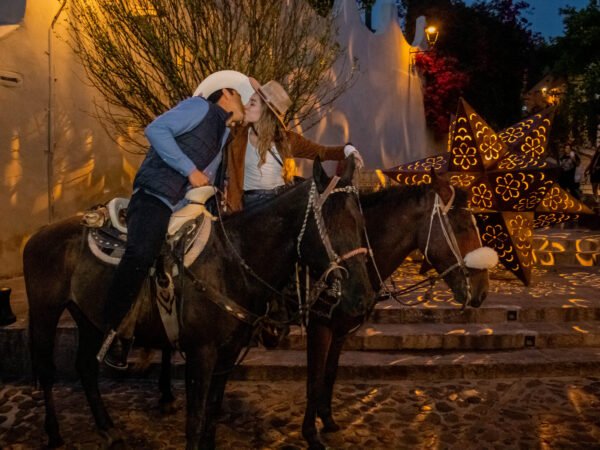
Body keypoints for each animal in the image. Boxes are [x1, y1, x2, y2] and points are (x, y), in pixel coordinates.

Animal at [25, 156, 372, 448]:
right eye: (331, 225)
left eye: (360, 223)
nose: (363, 299)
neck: (232, 261)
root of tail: (40, 233)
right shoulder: (200, 354)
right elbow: (194, 421)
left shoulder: (227, 354)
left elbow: (211, 415)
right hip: (45, 314)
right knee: (47, 371)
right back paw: (54, 433)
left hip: (89, 319)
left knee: (85, 367)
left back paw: (107, 427)